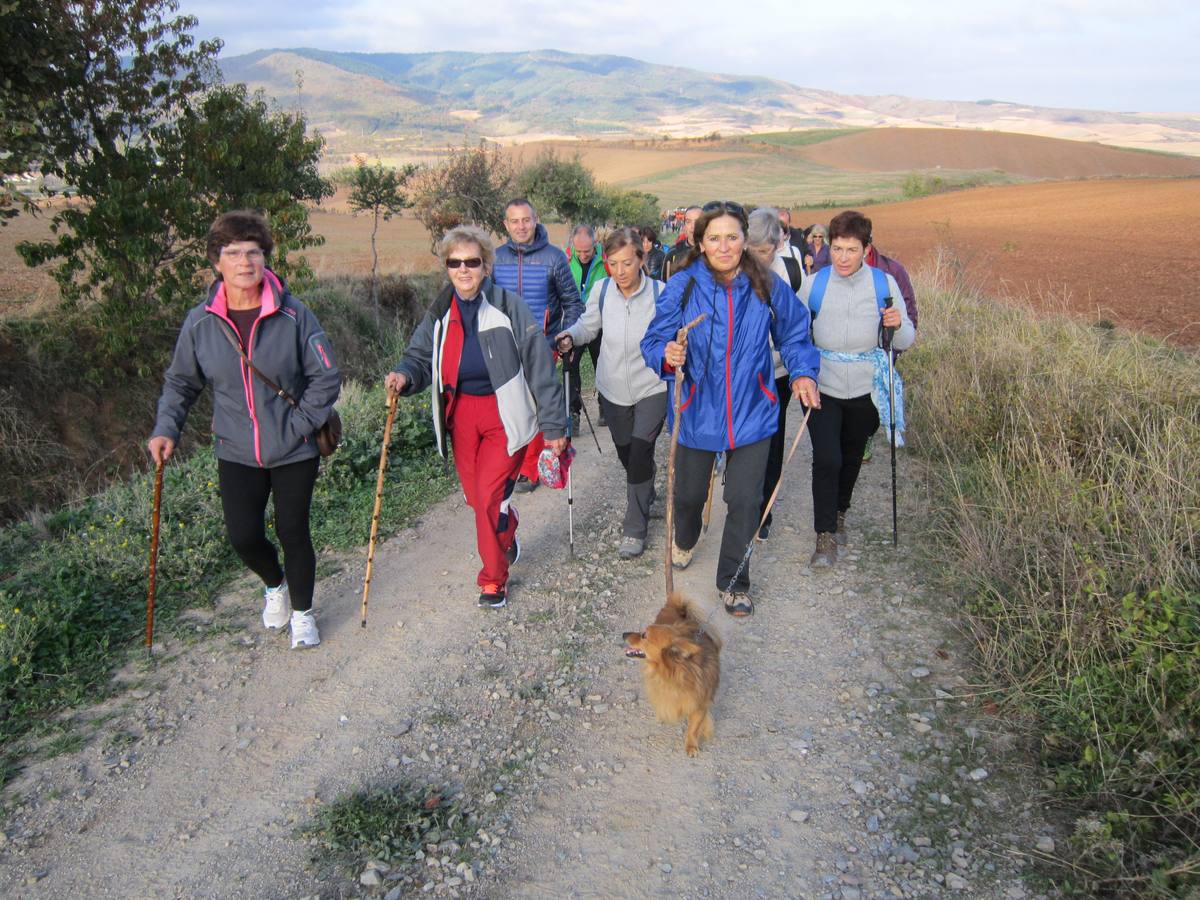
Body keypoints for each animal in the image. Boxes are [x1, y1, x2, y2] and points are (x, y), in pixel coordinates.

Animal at [619, 595, 720, 758]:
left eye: (644, 635)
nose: (624, 634)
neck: (674, 675)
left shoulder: (699, 705)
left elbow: (693, 728)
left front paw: (691, 745)